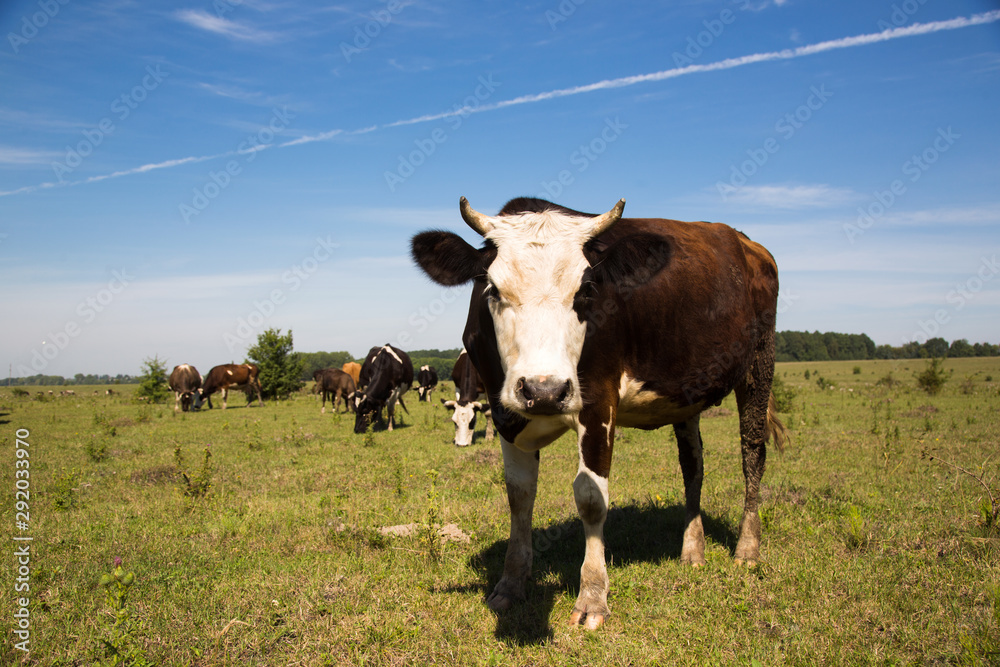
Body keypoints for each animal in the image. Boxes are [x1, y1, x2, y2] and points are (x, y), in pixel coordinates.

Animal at [410, 197, 784, 632]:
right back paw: (692, 549)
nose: (545, 390)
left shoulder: (599, 403)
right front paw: (511, 583)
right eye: (493, 289)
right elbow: (519, 496)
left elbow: (590, 498)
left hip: (759, 364)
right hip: (685, 392)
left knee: (752, 454)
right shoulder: (506, 412)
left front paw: (592, 596)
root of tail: (748, 244)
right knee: (693, 466)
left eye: (587, 290)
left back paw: (747, 548)